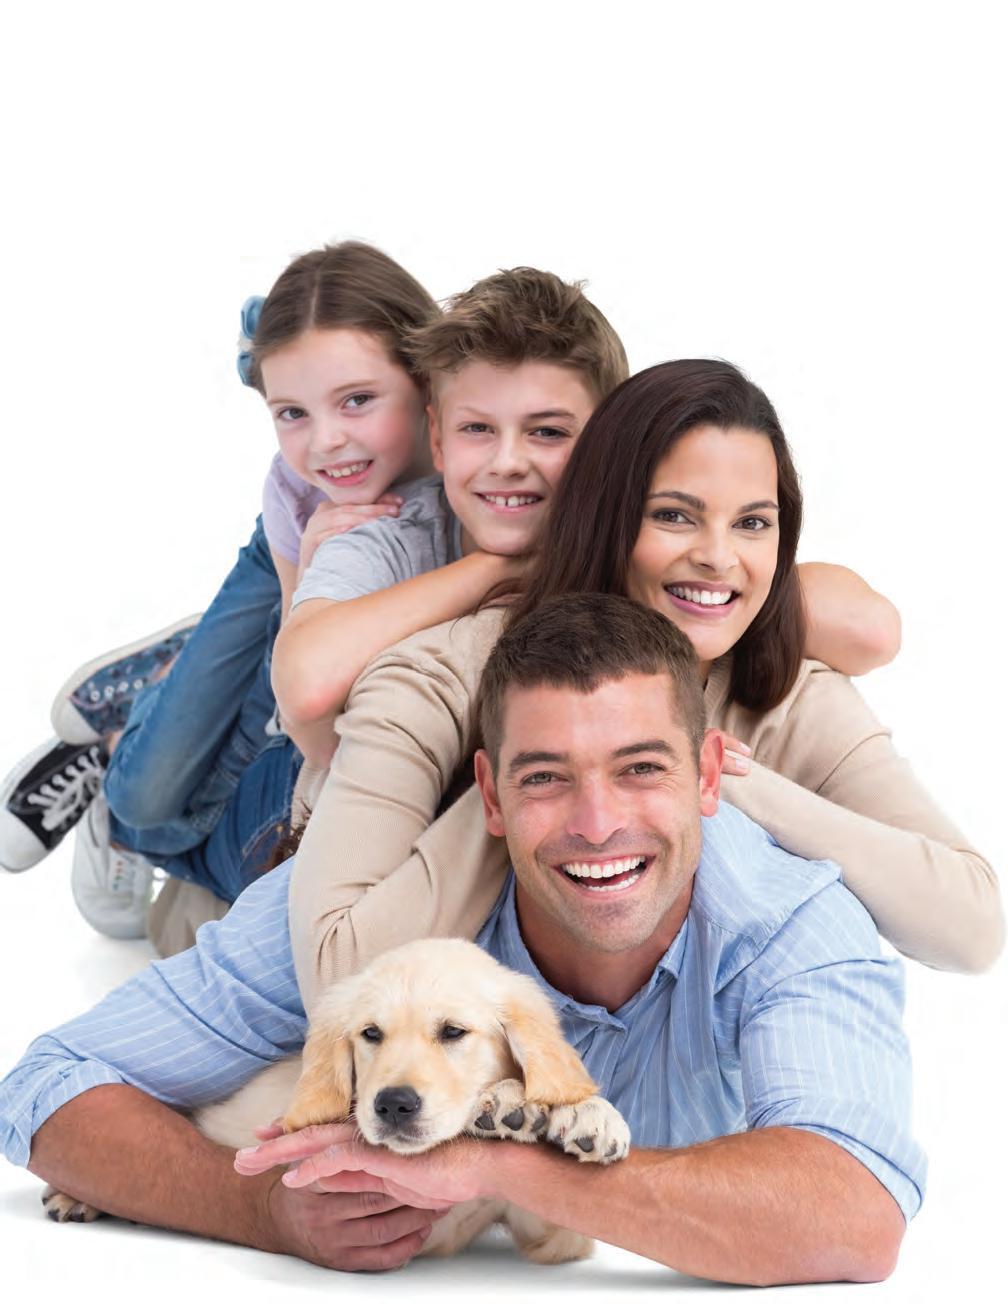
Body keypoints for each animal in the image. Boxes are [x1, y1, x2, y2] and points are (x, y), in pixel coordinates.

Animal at [43, 938, 631, 1262]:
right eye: (371, 1034)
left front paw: (572, 1112)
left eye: (453, 1032)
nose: (393, 1105)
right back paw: (72, 1196)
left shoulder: (554, 1237)